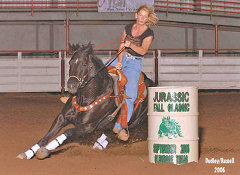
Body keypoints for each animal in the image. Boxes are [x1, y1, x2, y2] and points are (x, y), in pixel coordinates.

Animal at [17, 42, 156, 160]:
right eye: (70, 62)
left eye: (84, 64)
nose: (71, 85)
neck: (89, 96)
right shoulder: (61, 118)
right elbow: (46, 137)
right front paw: (27, 153)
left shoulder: (87, 127)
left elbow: (67, 132)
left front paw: (45, 150)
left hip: (135, 122)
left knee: (115, 135)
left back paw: (101, 144)